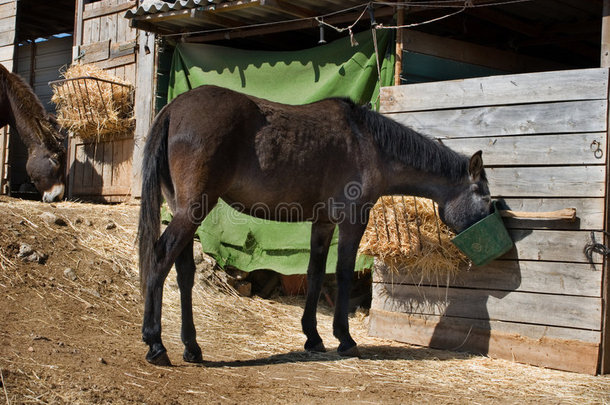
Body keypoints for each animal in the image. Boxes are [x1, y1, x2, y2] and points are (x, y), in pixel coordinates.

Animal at [138, 83, 490, 364]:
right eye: (485, 197)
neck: (368, 143)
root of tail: (173, 109)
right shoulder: (353, 220)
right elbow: (343, 274)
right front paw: (345, 339)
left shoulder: (322, 223)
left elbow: (315, 274)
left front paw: (313, 337)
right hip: (193, 210)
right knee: (160, 256)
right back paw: (156, 345)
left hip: (183, 210)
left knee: (183, 271)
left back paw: (191, 347)